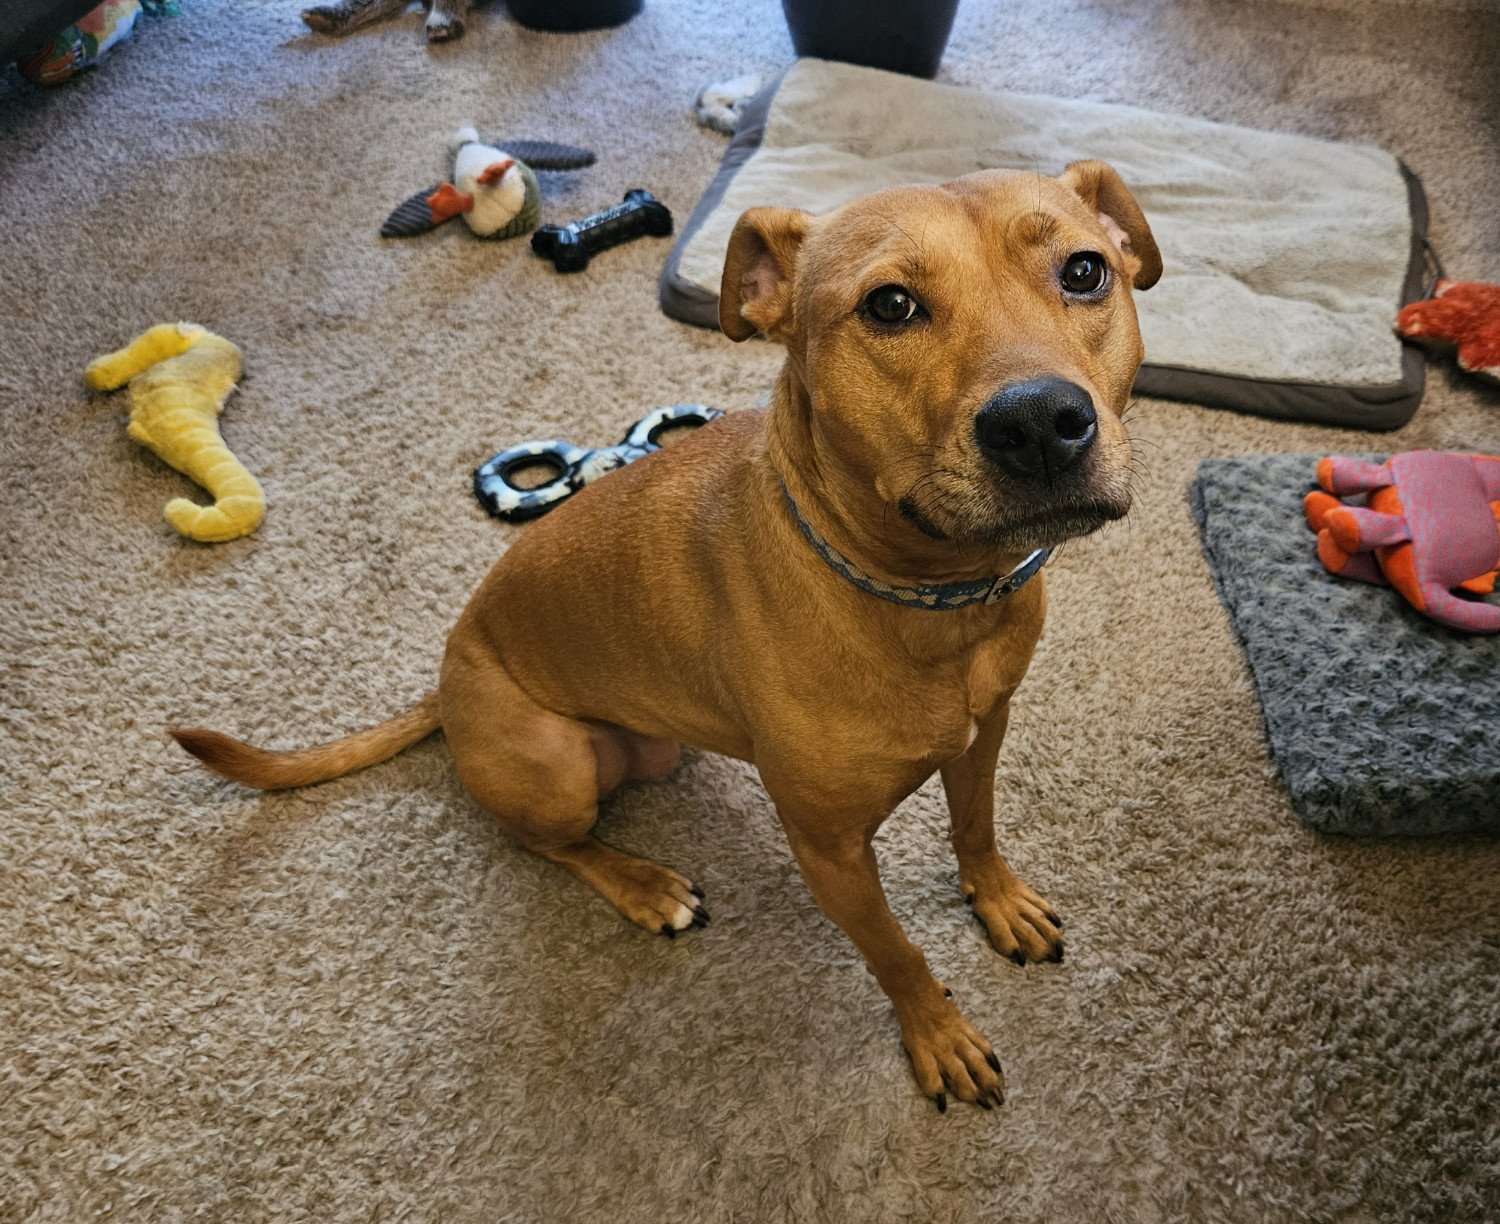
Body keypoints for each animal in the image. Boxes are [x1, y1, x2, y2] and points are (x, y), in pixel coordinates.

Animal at [175, 162, 1158, 1110]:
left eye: (1084, 271)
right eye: (890, 306)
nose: (1039, 423)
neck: (932, 597)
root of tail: (448, 673)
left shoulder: (983, 736)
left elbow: (975, 829)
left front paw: (997, 901)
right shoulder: (831, 852)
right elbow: (896, 952)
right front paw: (939, 1035)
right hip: (556, 766)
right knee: (549, 844)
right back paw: (644, 885)